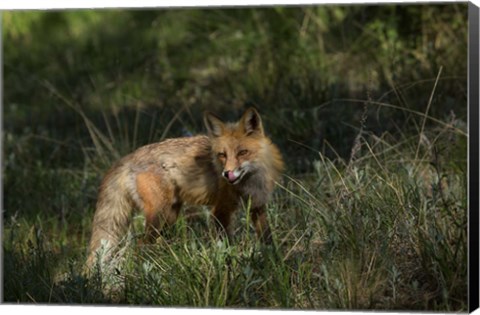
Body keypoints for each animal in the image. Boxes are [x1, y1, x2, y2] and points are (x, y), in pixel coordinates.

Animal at [85, 108, 284, 270]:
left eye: (243, 153)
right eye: (222, 155)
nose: (226, 174)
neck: (250, 182)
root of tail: (129, 157)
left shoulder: (258, 206)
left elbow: (267, 239)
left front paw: (275, 262)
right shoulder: (220, 210)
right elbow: (227, 246)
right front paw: (231, 266)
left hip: (170, 217)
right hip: (159, 216)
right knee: (140, 246)